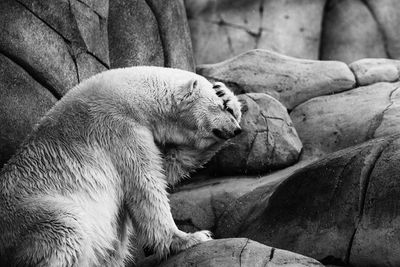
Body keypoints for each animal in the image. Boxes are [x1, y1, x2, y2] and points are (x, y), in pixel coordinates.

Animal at [0, 66, 241, 266]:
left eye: (226, 109)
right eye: (219, 108)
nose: (236, 129)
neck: (135, 96)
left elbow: (170, 164)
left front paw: (226, 92)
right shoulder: (118, 128)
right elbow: (146, 184)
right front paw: (191, 237)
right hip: (31, 216)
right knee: (66, 231)